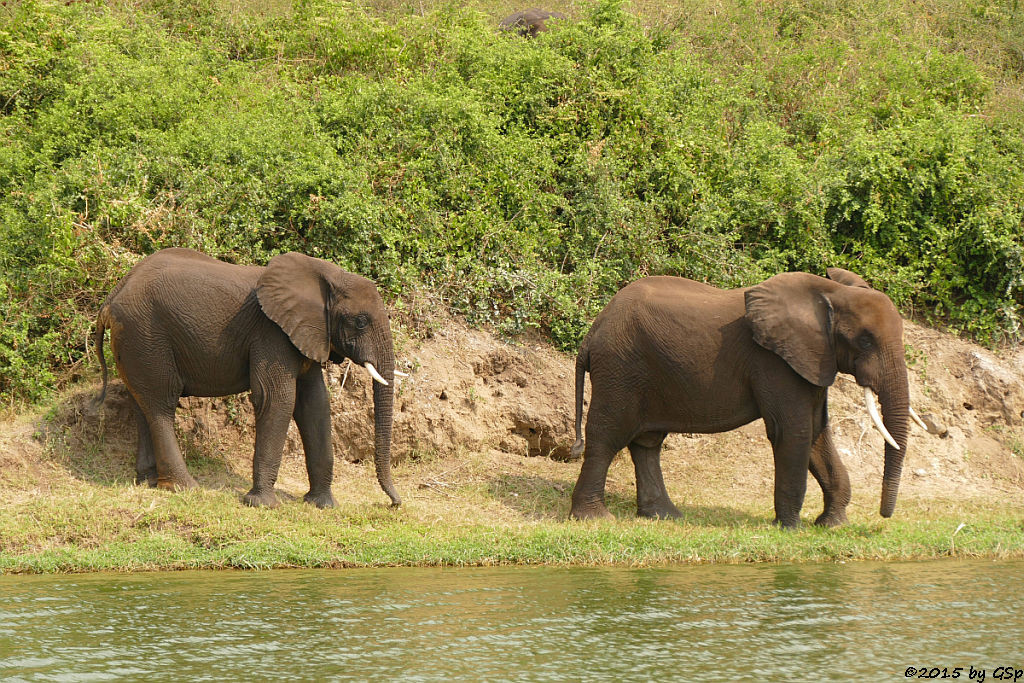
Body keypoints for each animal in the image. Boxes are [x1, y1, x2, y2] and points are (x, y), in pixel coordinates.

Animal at [92, 248, 401, 509]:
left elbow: (315, 404)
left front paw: (323, 505)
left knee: (142, 403)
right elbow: (276, 399)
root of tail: (112, 296)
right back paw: (184, 487)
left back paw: (148, 481)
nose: (394, 504)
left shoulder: (306, 333)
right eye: (360, 322)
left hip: (135, 342)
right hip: (145, 334)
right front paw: (262, 505)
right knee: (161, 404)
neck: (327, 276)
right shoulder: (271, 332)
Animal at [569, 266, 921, 528]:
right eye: (865, 341)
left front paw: (833, 525)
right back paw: (595, 519)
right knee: (607, 436)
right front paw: (789, 528)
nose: (884, 516)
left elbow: (817, 432)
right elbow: (793, 431)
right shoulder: (773, 361)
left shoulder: (813, 358)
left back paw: (665, 517)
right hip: (620, 367)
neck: (832, 293)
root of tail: (593, 331)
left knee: (647, 443)